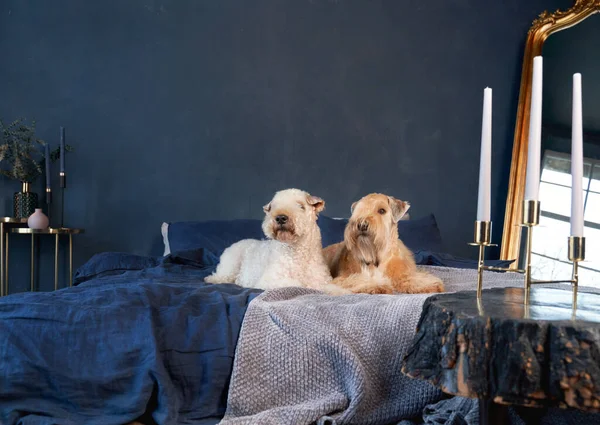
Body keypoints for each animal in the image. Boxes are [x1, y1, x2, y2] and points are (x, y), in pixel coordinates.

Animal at [204, 187, 350, 294]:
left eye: (301, 206)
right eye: (273, 206)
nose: (280, 218)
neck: (297, 252)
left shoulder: (322, 280)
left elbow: (330, 287)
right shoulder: (271, 280)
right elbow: (298, 284)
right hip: (230, 266)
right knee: (220, 276)